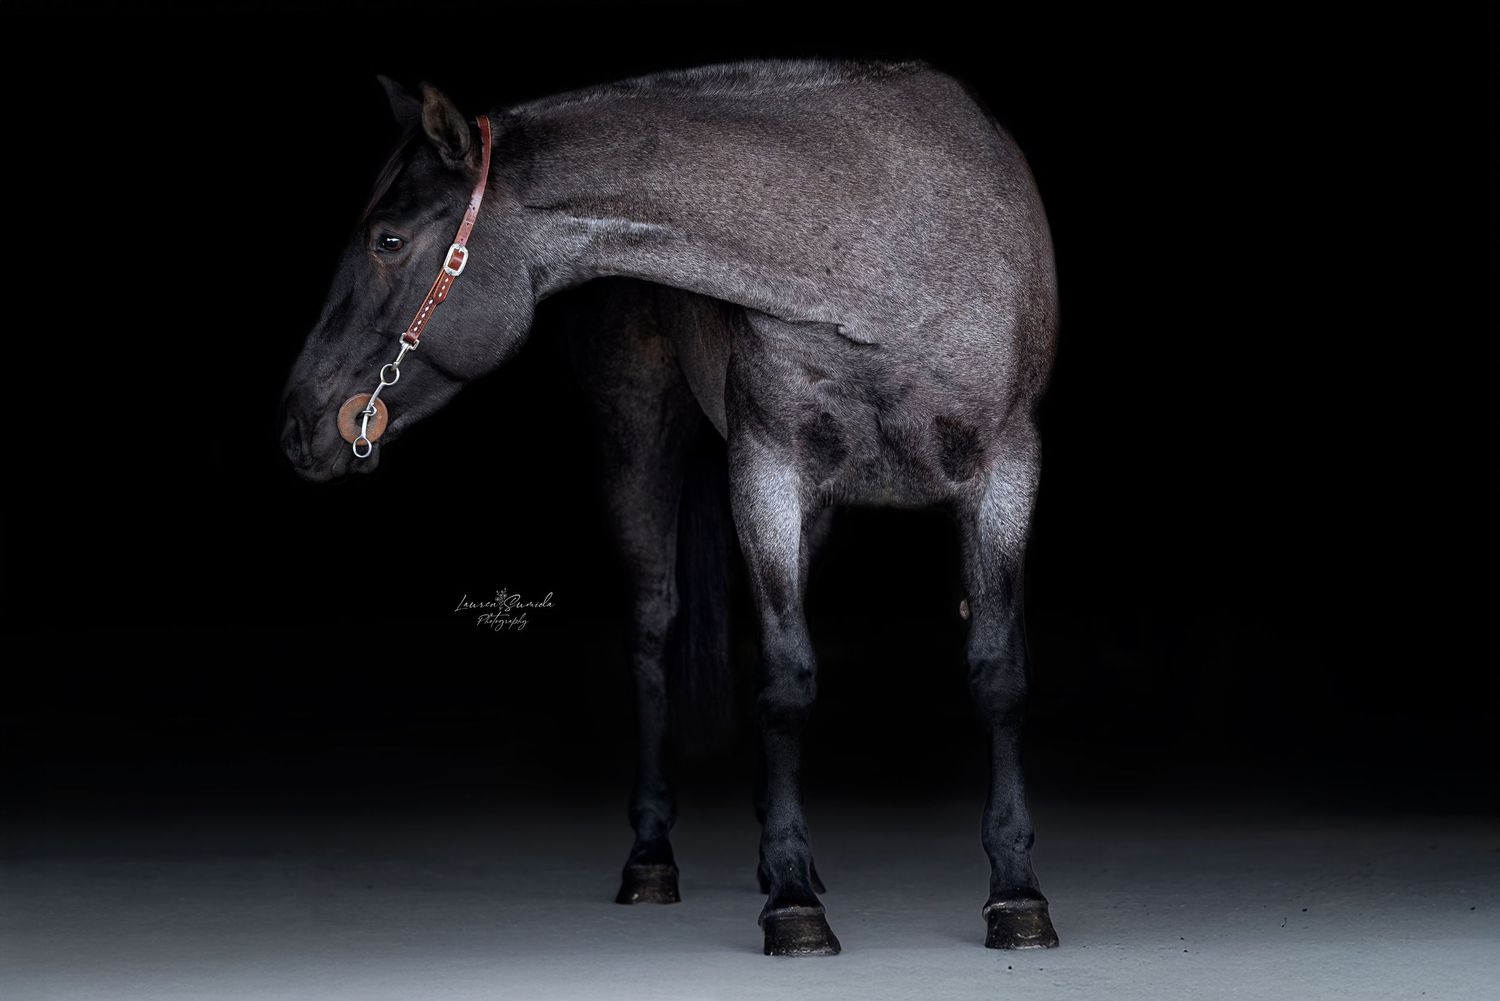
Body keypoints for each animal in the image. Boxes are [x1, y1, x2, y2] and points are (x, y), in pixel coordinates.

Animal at [279, 57, 1060, 957]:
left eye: (388, 240)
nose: (298, 423)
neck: (887, 246)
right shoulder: (767, 466)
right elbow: (787, 681)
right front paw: (793, 905)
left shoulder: (1006, 469)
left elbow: (998, 672)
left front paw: (1017, 896)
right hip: (639, 439)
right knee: (652, 633)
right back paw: (653, 858)